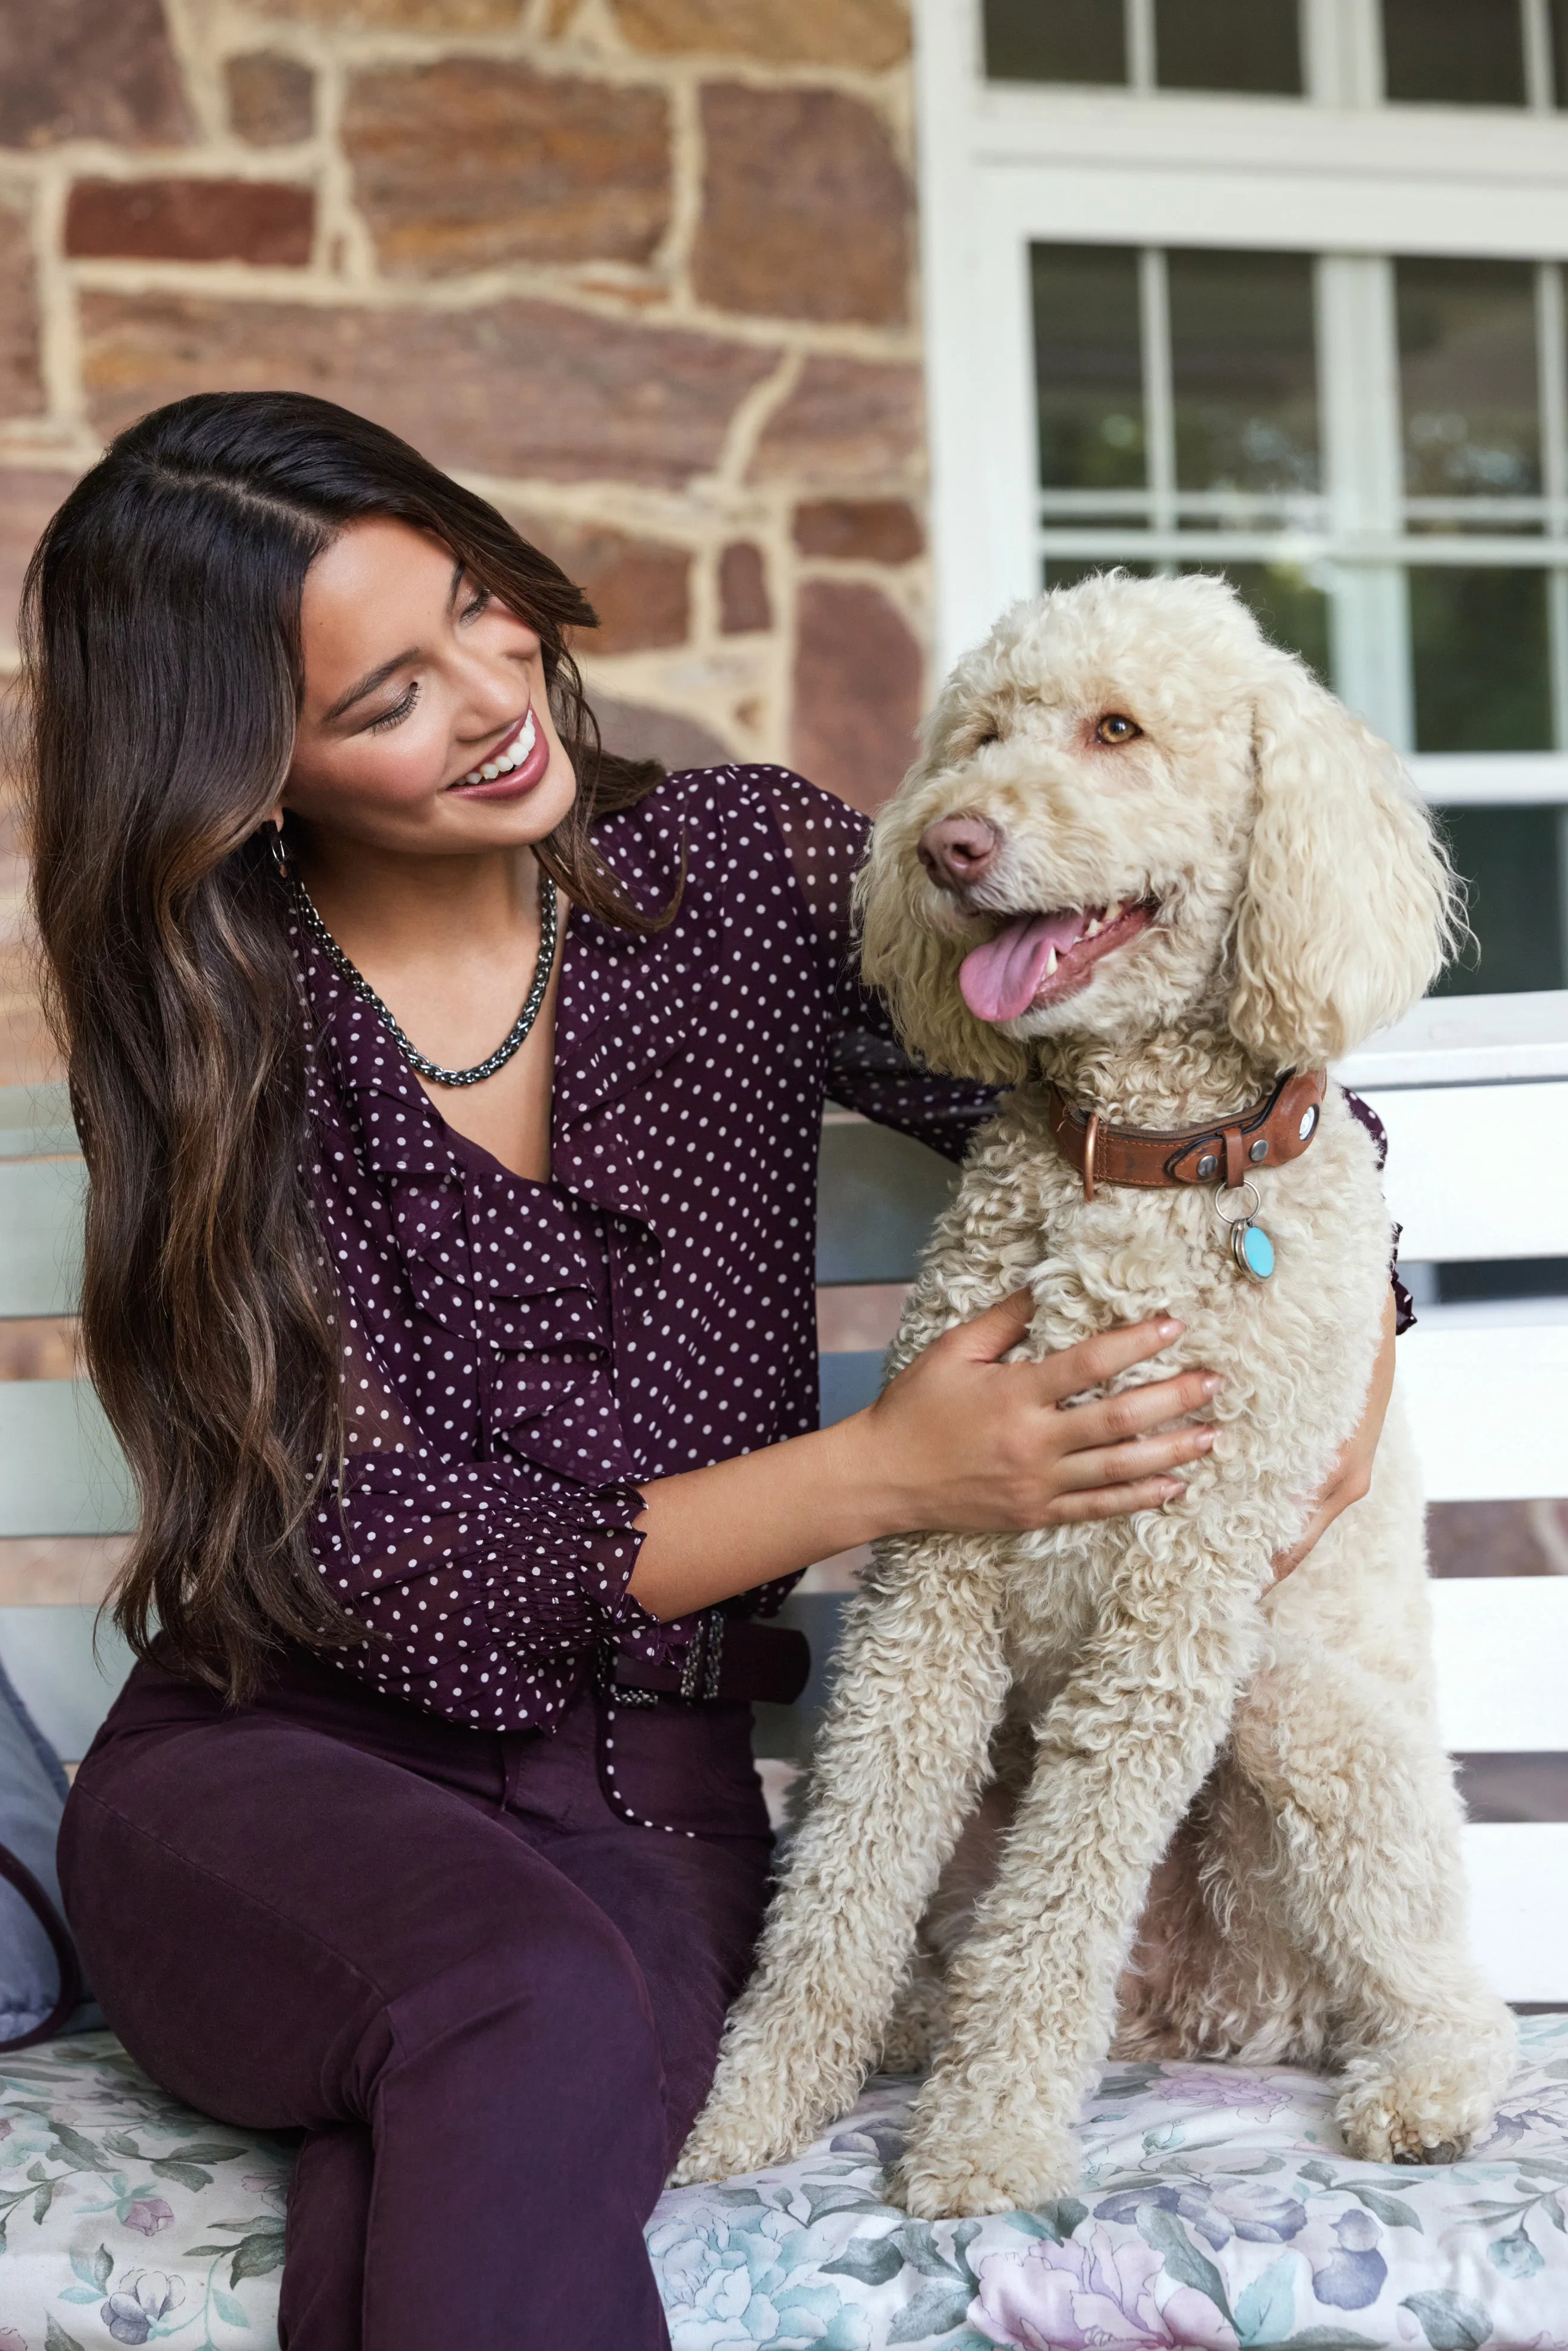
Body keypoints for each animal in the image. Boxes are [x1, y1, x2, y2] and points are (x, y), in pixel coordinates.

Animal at [677, 573, 1523, 2219]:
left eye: (1116, 730)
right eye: (979, 733)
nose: (948, 844)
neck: (1140, 1154)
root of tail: (1199, 2016)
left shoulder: (1177, 1596)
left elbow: (1058, 1901)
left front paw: (985, 2142)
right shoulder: (926, 1578)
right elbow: (843, 1876)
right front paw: (751, 2106)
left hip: (1298, 1712)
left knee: (1436, 1986)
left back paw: (1424, 2089)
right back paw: (914, 2025)